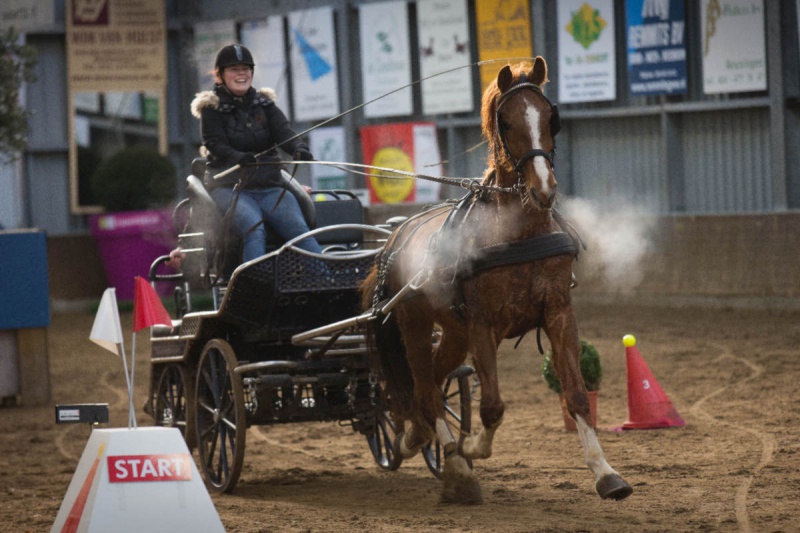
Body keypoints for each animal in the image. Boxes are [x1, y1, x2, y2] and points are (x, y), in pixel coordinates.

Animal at [360, 58, 632, 502]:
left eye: (551, 117)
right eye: (505, 121)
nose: (544, 190)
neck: (518, 233)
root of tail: (397, 236)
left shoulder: (559, 313)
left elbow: (576, 394)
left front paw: (606, 474)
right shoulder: (482, 325)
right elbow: (492, 405)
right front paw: (470, 448)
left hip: (453, 334)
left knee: (430, 383)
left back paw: (417, 438)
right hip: (416, 324)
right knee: (426, 390)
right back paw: (456, 468)